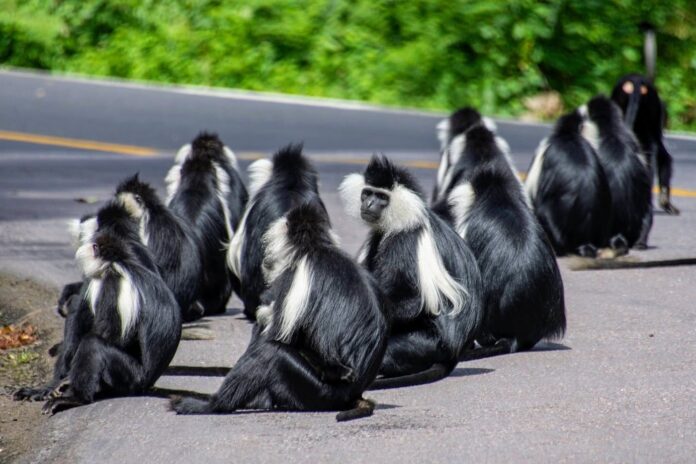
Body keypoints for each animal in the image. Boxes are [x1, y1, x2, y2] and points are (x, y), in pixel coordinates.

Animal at [14, 201, 181, 414]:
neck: (120, 261)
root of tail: (147, 383)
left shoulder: (114, 282)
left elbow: (112, 336)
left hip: (131, 377)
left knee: (93, 342)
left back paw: (76, 398)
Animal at [170, 202, 388, 421]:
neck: (316, 247)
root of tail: (354, 393)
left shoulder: (294, 276)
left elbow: (277, 336)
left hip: (315, 389)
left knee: (270, 353)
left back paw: (211, 405)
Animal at [339, 155, 483, 387]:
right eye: (367, 193)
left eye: (381, 197)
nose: (368, 204)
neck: (405, 216)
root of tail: (454, 352)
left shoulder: (404, 240)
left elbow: (411, 299)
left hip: (426, 343)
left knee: (392, 349)